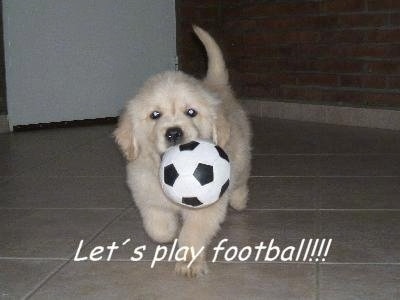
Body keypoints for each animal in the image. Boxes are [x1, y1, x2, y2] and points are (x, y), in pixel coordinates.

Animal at [114, 25, 250, 276]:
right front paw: (170, 233)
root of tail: (215, 85)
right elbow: (157, 228)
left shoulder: (205, 208)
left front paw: (189, 262)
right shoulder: (146, 196)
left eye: (191, 112)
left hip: (241, 156)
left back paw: (239, 200)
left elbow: (193, 234)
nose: (174, 133)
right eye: (155, 115)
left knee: (240, 180)